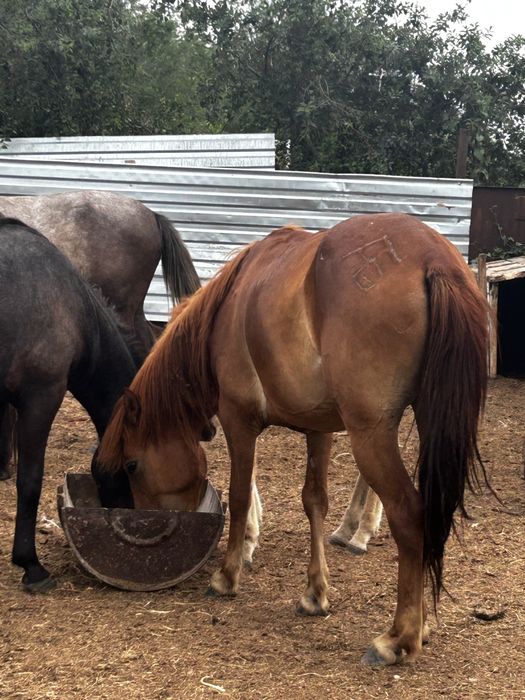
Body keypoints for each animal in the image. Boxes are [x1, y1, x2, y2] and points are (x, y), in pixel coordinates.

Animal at [98, 213, 489, 666]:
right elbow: (314, 501)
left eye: (132, 465)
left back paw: (399, 637)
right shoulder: (319, 430)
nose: (150, 527)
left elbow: (239, 496)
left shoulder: (238, 420)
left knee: (409, 514)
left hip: (371, 435)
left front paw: (227, 575)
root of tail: (432, 259)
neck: (229, 303)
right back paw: (421, 624)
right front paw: (314, 594)